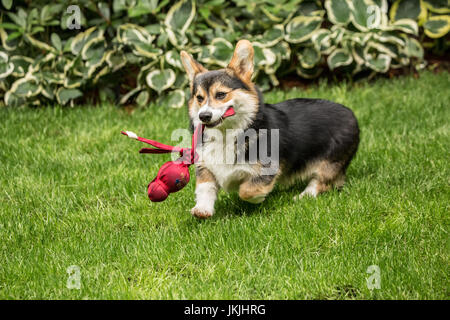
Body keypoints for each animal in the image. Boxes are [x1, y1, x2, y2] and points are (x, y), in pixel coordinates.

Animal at [179, 40, 358, 219]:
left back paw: (304, 195)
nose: (203, 116)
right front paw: (202, 209)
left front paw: (259, 197)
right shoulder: (205, 167)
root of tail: (351, 114)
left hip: (329, 162)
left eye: (221, 94)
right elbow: (205, 188)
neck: (228, 134)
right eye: (199, 98)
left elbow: (246, 190)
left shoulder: (268, 168)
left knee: (321, 181)